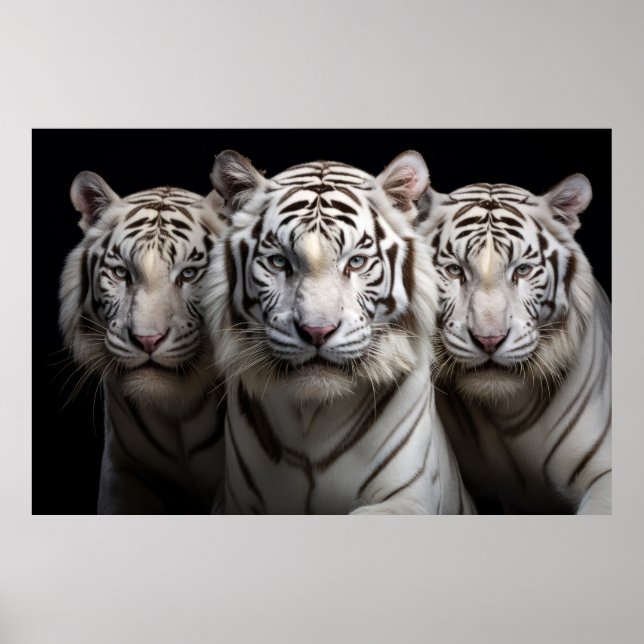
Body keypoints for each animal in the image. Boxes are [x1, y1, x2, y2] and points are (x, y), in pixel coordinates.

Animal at [203, 150, 475, 514]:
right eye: (278, 262)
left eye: (356, 262)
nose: (317, 331)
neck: (313, 417)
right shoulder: (236, 502)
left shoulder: (410, 497)